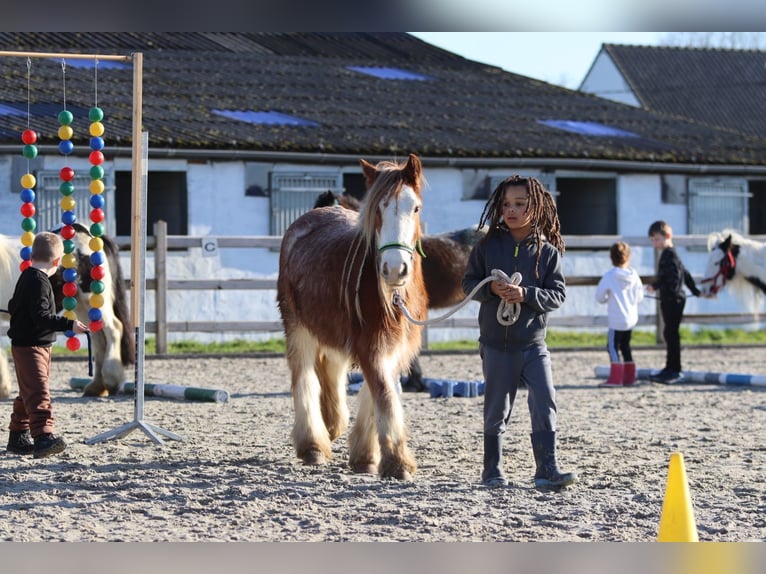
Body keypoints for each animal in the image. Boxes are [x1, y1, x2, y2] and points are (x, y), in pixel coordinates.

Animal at [280, 153, 428, 482]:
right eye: (378, 210)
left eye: (415, 207)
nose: (394, 269)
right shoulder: (370, 345)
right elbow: (384, 393)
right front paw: (397, 462)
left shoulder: (395, 348)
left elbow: (377, 392)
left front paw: (365, 456)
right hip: (297, 326)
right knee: (305, 376)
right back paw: (313, 445)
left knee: (332, 371)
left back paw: (333, 422)